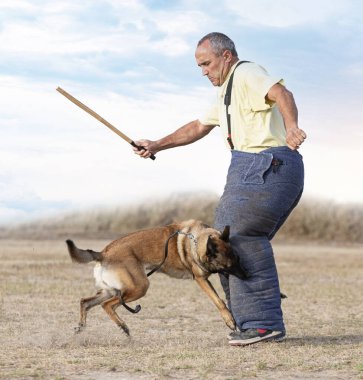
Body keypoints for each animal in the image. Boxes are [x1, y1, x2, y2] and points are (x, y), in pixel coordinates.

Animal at [65, 220, 249, 336]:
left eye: (238, 259)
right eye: (228, 266)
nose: (247, 276)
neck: (196, 240)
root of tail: (103, 253)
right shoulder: (201, 279)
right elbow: (218, 301)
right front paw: (229, 320)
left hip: (112, 290)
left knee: (85, 301)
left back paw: (81, 327)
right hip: (139, 287)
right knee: (107, 305)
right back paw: (123, 326)